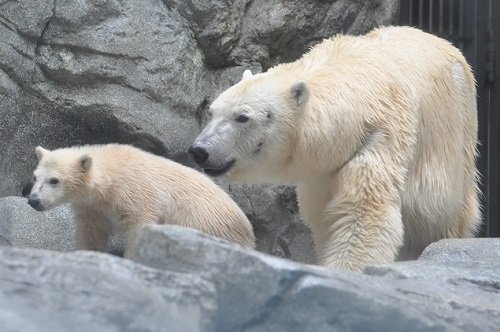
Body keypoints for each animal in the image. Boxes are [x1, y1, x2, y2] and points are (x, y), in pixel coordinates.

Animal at [190, 25, 480, 270]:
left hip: (455, 135)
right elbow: (326, 216)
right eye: (213, 111)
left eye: (242, 117)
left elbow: (364, 209)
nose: (199, 150)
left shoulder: (382, 133)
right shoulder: (326, 167)